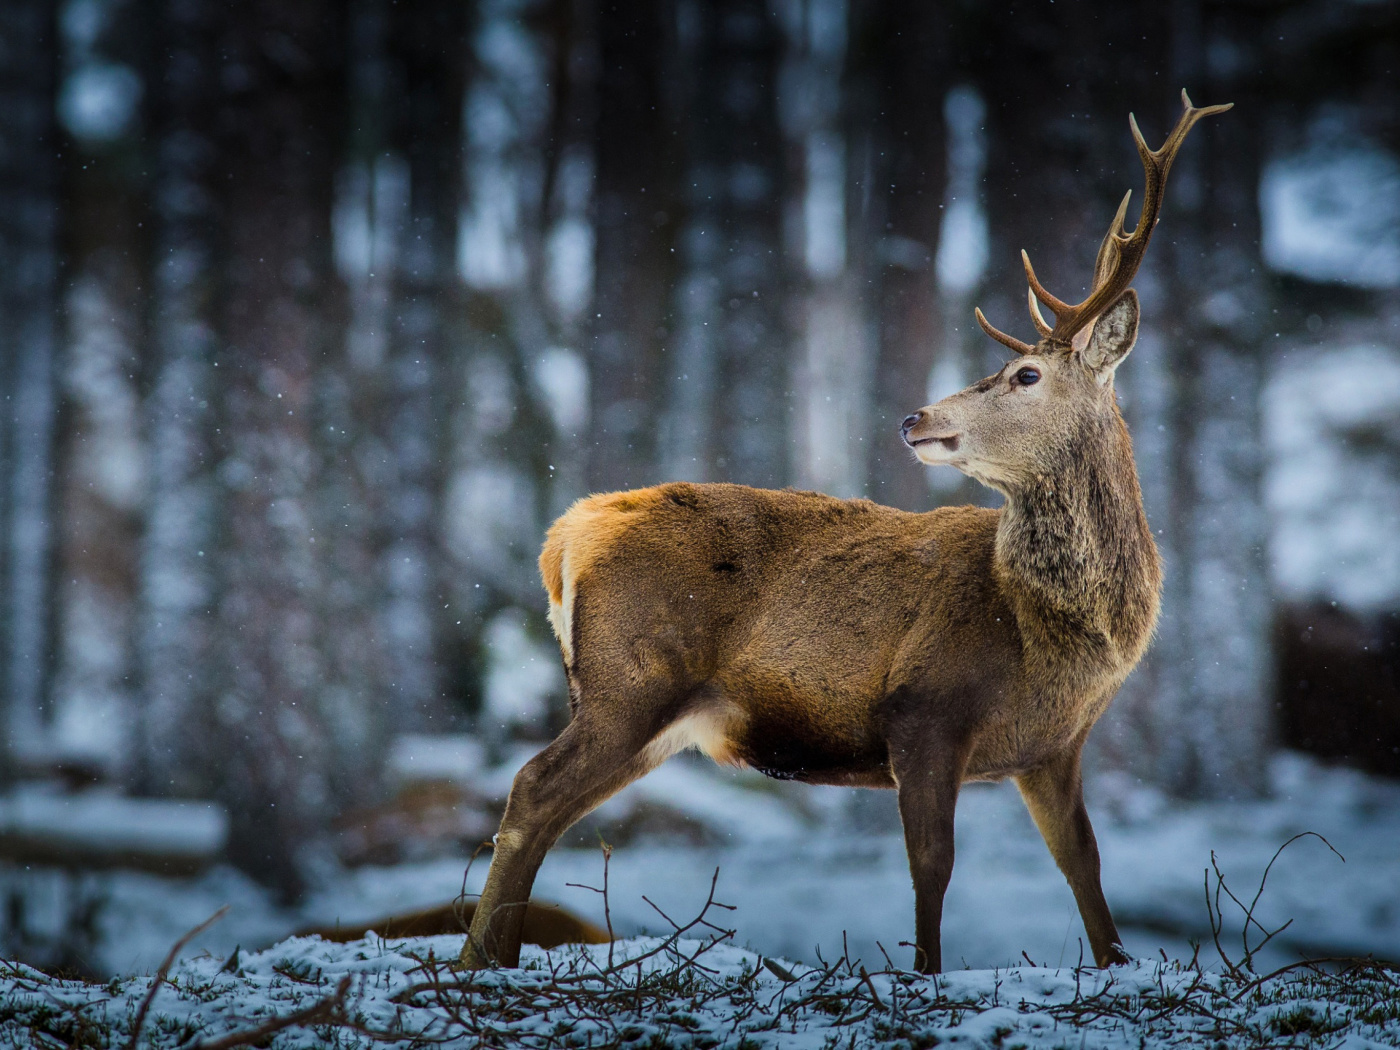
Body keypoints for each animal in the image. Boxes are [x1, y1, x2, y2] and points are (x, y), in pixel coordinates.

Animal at [459, 92, 1226, 980]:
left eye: (1026, 375)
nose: (914, 418)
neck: (1053, 634)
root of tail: (565, 536)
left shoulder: (1052, 747)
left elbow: (1085, 868)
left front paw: (1114, 963)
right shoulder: (924, 706)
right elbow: (933, 865)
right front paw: (924, 973)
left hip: (648, 709)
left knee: (551, 807)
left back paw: (491, 956)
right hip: (633, 677)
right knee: (532, 788)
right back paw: (477, 959)